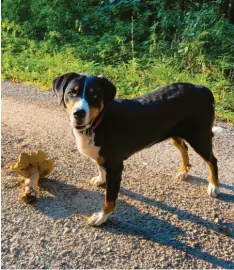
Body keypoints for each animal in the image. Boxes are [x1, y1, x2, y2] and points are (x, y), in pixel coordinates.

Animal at [52, 71, 221, 226]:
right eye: (72, 92)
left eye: (94, 95)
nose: (79, 113)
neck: (98, 122)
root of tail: (203, 88)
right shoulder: (103, 159)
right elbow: (100, 167)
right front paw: (101, 179)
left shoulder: (115, 167)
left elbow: (109, 200)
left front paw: (101, 217)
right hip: (175, 133)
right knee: (184, 148)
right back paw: (183, 171)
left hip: (199, 138)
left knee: (212, 161)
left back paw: (213, 186)